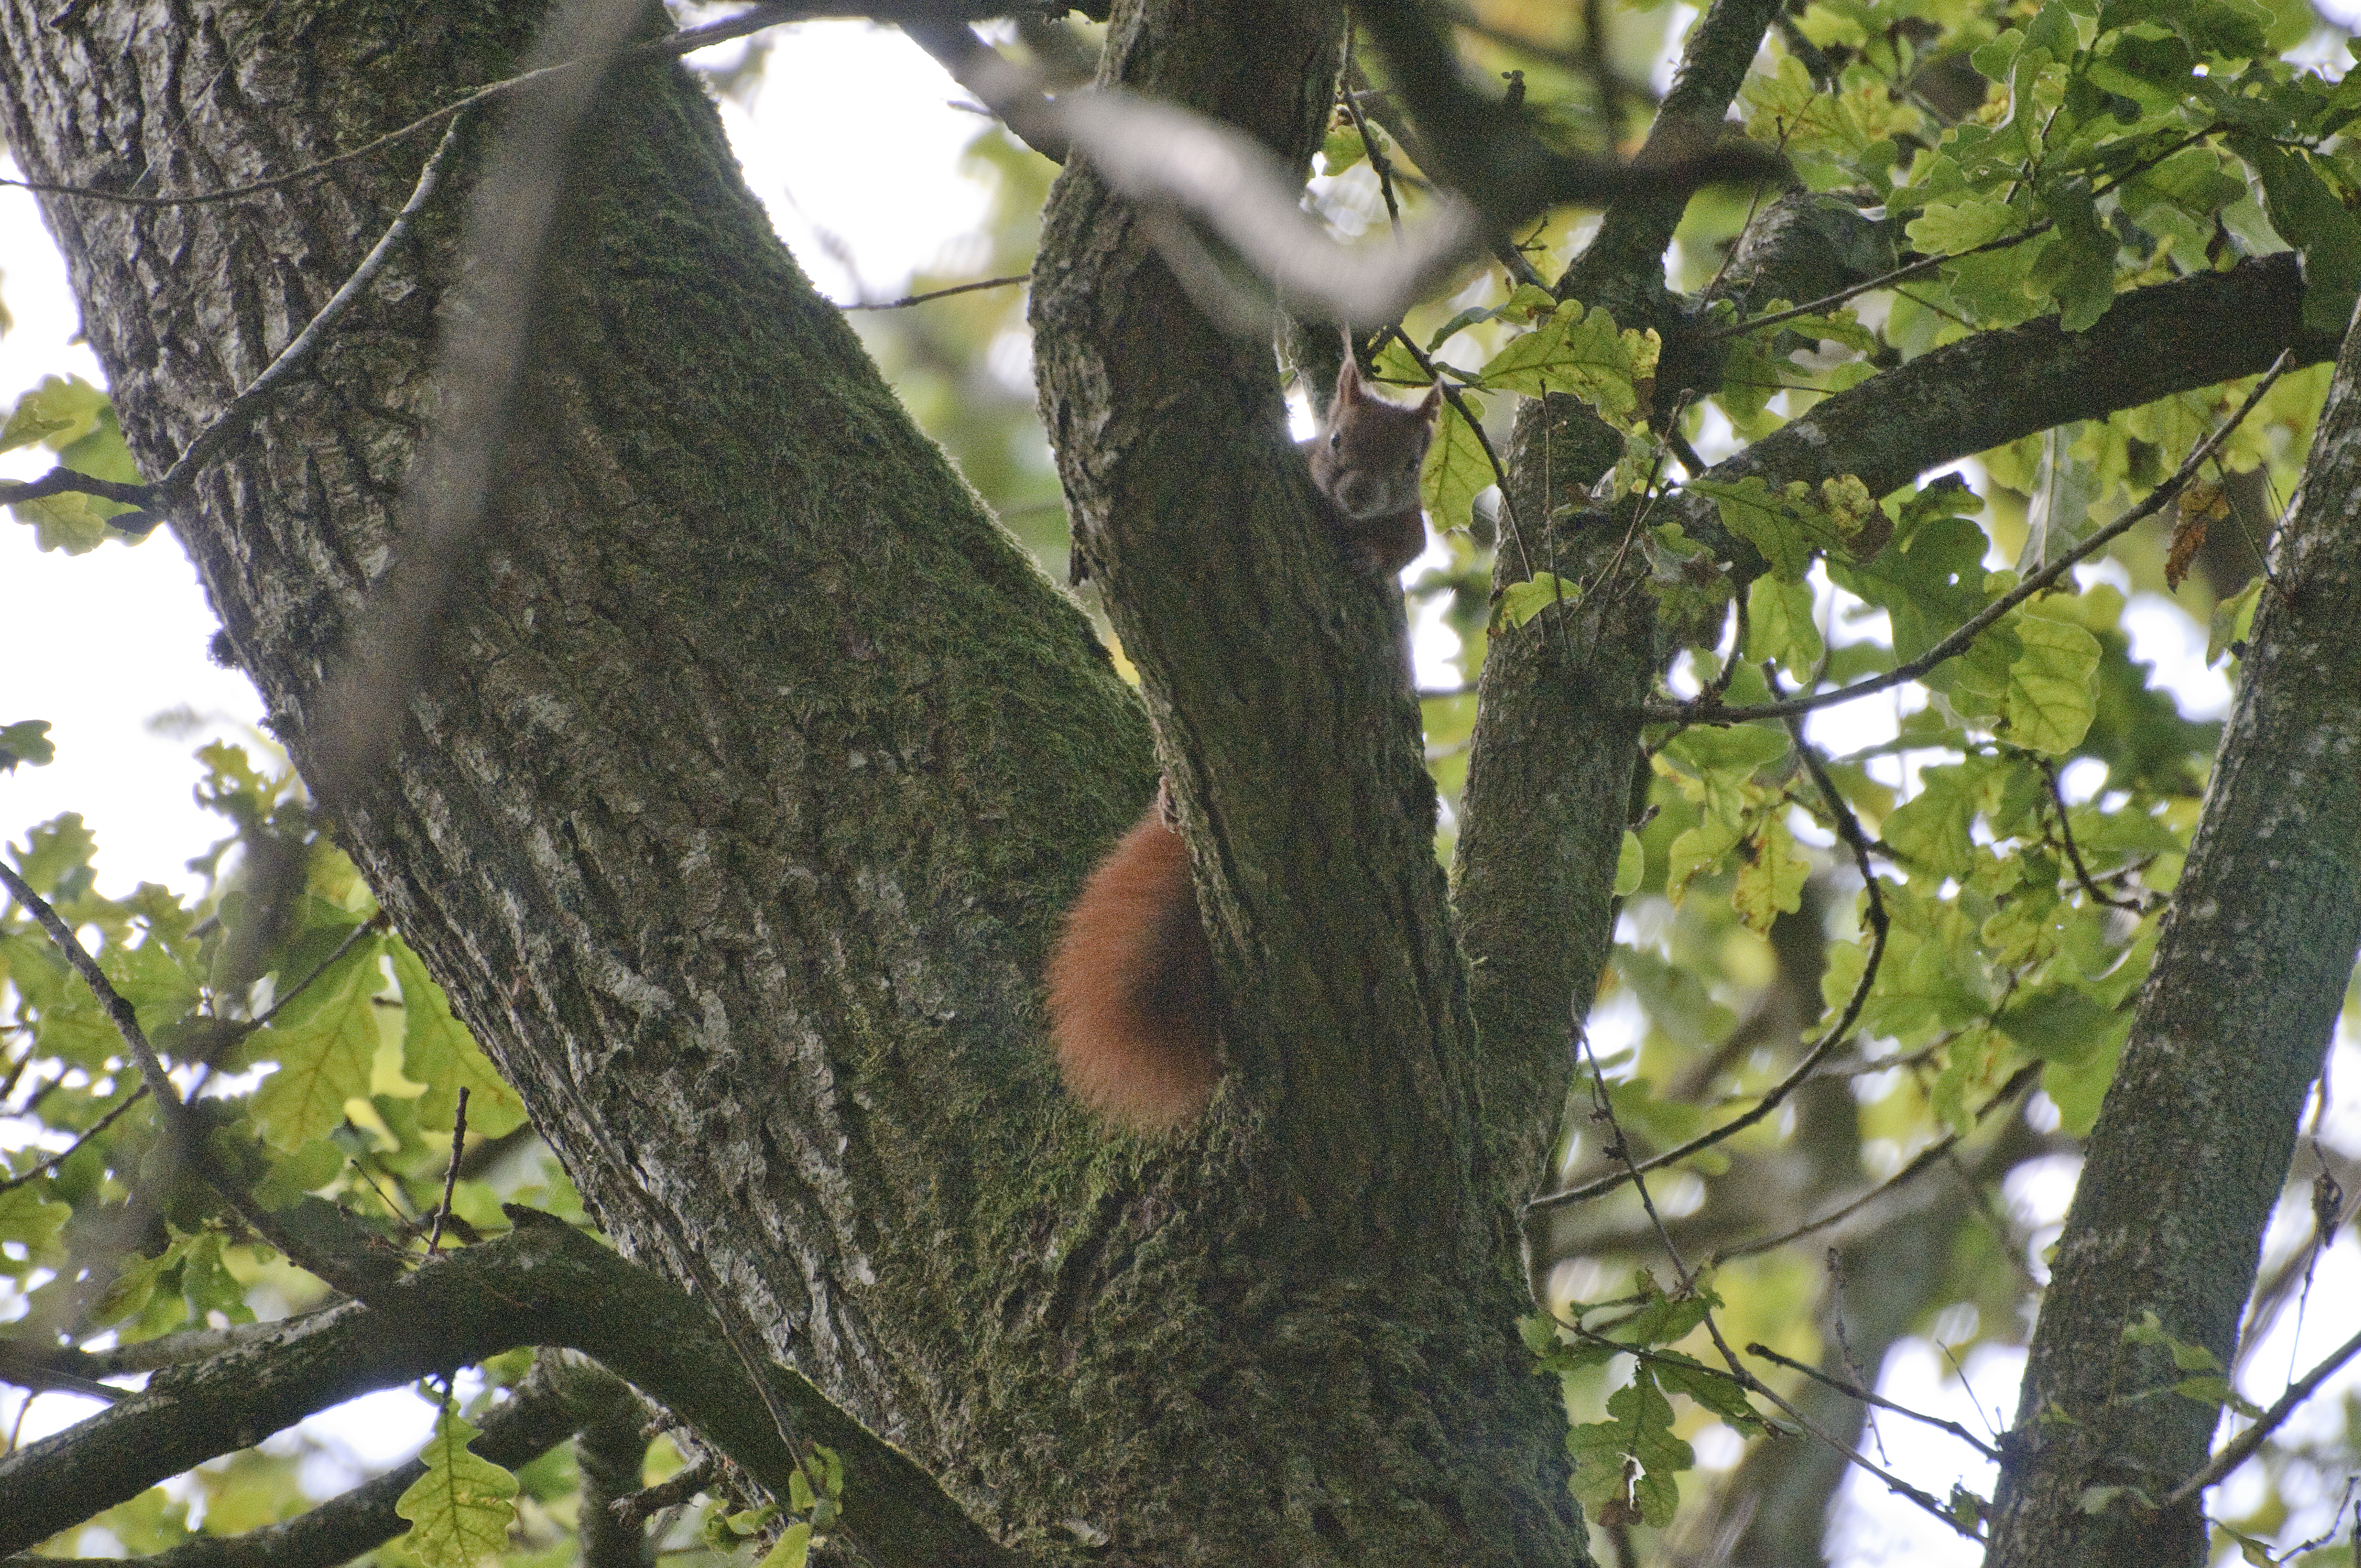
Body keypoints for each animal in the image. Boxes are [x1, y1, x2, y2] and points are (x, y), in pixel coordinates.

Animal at [1048, 352, 1435, 1129]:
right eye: (1337, 440)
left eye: (1412, 463)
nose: (1359, 494)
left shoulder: (1411, 523)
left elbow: (1409, 545)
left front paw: (1369, 556)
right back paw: (1171, 797)